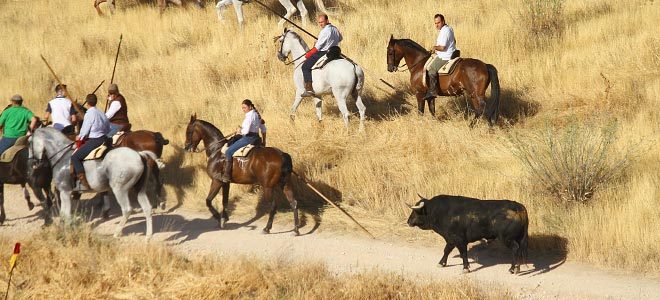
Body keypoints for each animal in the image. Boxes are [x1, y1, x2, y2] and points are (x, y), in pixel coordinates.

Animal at [29, 127, 161, 240]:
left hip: (120, 190)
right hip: (140, 189)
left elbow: (65, 213)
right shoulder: (69, 192)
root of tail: (139, 155)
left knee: (127, 209)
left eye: (29, 143)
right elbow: (66, 212)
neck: (62, 157)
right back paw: (148, 236)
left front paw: (66, 230)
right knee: (147, 208)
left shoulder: (64, 191)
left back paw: (117, 233)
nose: (33, 163)